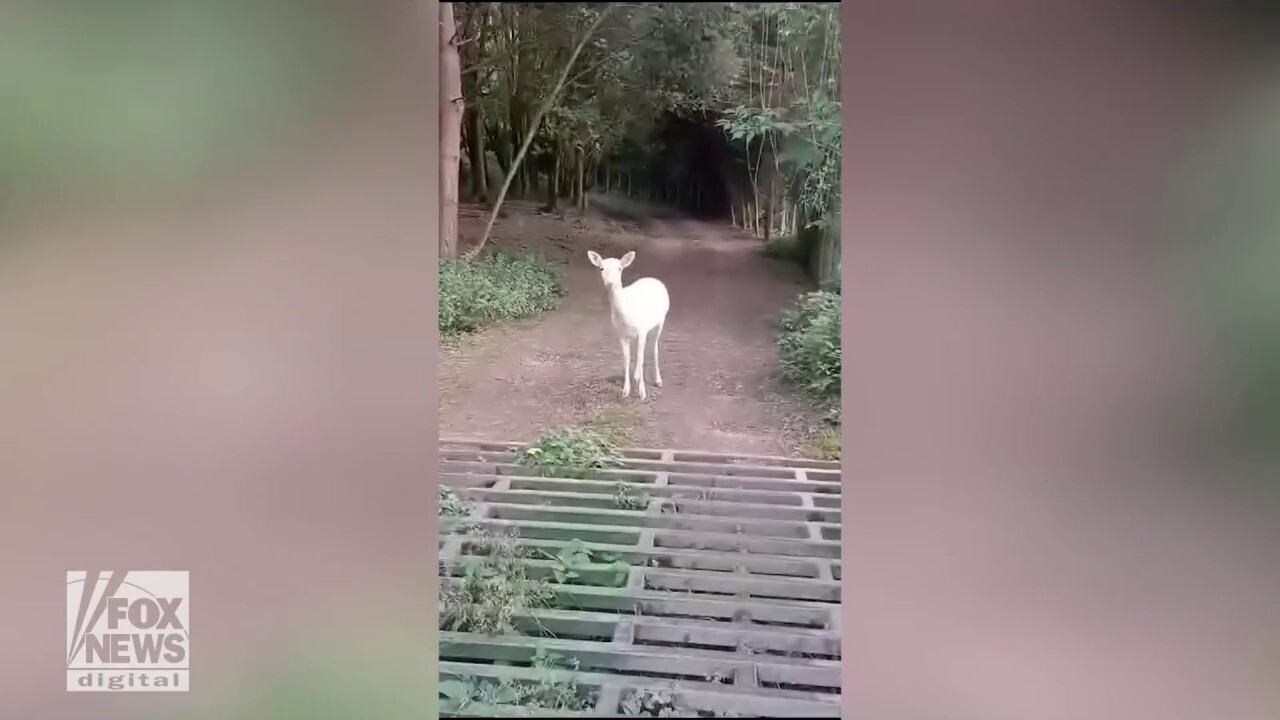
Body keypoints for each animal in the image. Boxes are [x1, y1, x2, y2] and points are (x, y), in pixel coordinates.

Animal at [588, 249, 670, 397]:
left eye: (619, 269)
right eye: (601, 268)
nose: (610, 282)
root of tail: (655, 279)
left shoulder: (642, 330)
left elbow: (641, 357)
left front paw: (642, 392)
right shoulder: (621, 333)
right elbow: (626, 358)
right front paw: (625, 391)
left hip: (661, 321)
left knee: (654, 348)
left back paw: (658, 380)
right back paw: (636, 376)